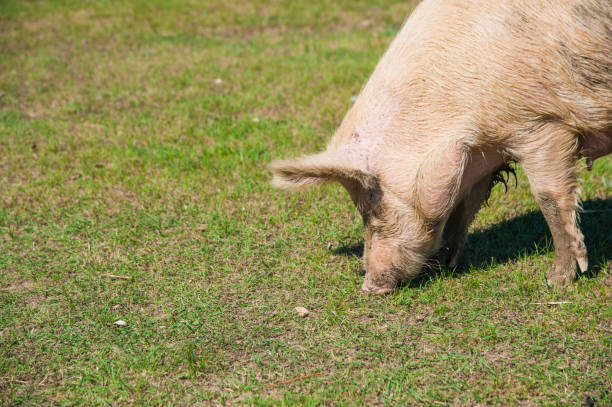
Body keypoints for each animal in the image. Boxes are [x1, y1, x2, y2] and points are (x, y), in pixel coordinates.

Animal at [272, 0, 612, 294]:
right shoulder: (479, 153)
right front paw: (446, 264)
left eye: (371, 204)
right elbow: (464, 204)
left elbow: (549, 200)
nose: (369, 287)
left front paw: (557, 280)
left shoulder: (542, 126)